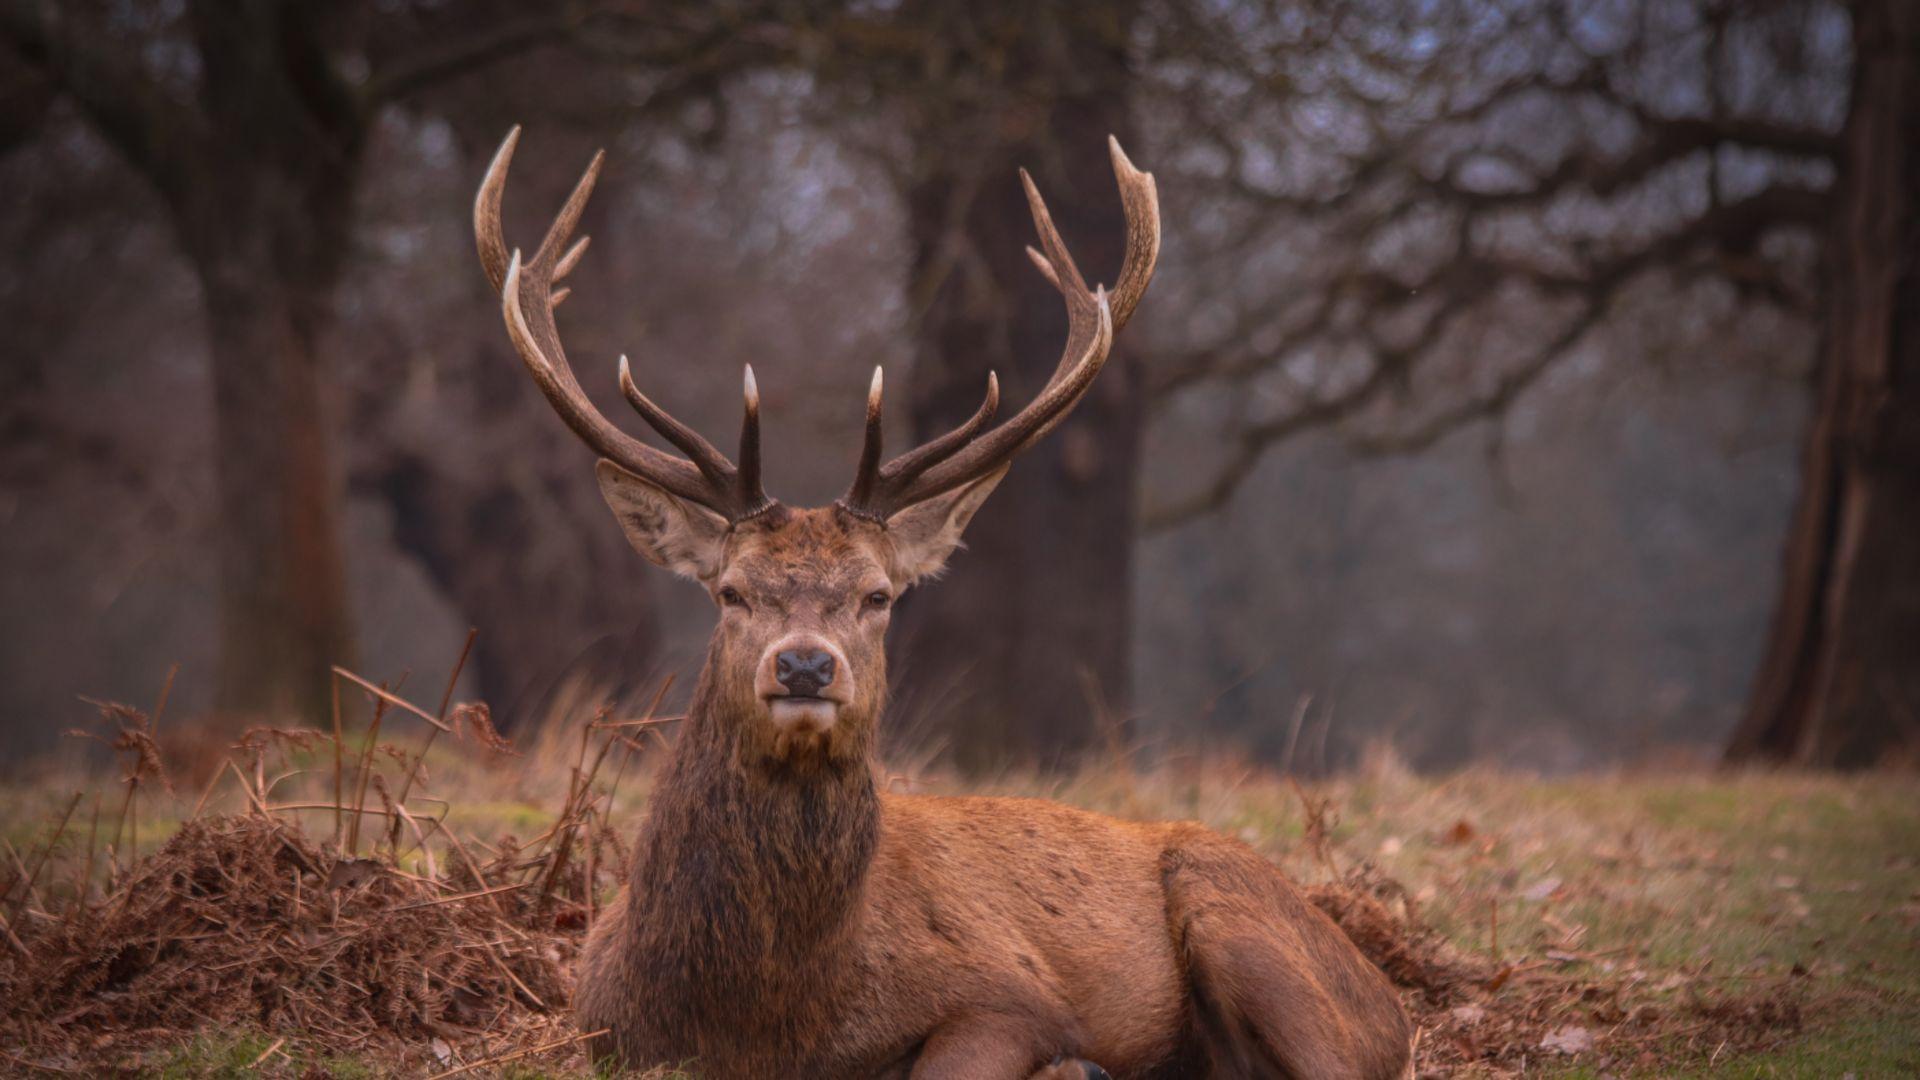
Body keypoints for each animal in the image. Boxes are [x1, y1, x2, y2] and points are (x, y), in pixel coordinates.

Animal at [472, 127, 1420, 1076]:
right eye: (731, 592)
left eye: (879, 595)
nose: (807, 665)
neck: (771, 1018)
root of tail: (1386, 996)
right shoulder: (604, 1027)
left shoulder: (1008, 994)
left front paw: (1072, 1065)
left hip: (1244, 920)